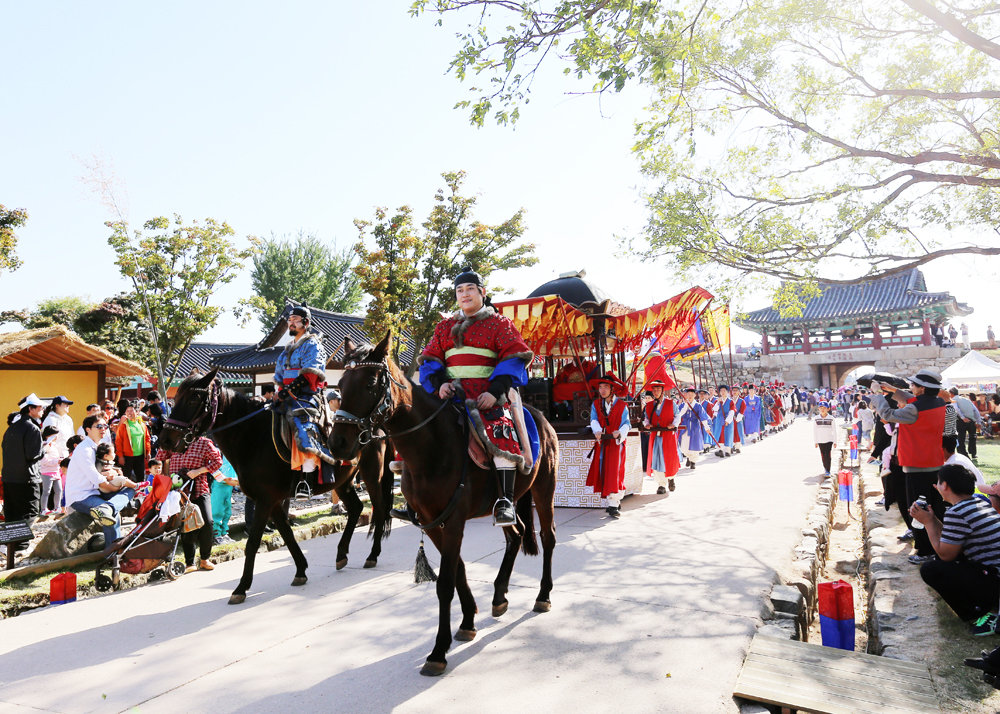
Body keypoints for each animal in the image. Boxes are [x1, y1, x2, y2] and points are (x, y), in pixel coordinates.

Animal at [158, 364, 392, 604]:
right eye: (177, 397)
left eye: (194, 398)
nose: (165, 439)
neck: (251, 437)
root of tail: (375, 423)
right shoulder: (272, 501)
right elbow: (286, 534)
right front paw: (300, 570)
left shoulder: (265, 500)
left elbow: (253, 542)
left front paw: (241, 587)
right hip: (343, 481)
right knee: (356, 507)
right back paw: (341, 554)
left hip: (372, 474)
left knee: (380, 508)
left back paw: (372, 555)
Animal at [330, 334, 560, 672]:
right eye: (342, 384)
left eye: (371, 383)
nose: (337, 443)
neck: (429, 448)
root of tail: (541, 417)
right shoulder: (432, 520)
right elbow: (459, 570)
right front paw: (467, 622)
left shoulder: (452, 521)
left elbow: (445, 583)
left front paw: (439, 650)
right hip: (505, 503)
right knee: (516, 535)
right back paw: (499, 597)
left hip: (545, 488)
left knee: (548, 537)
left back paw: (543, 595)